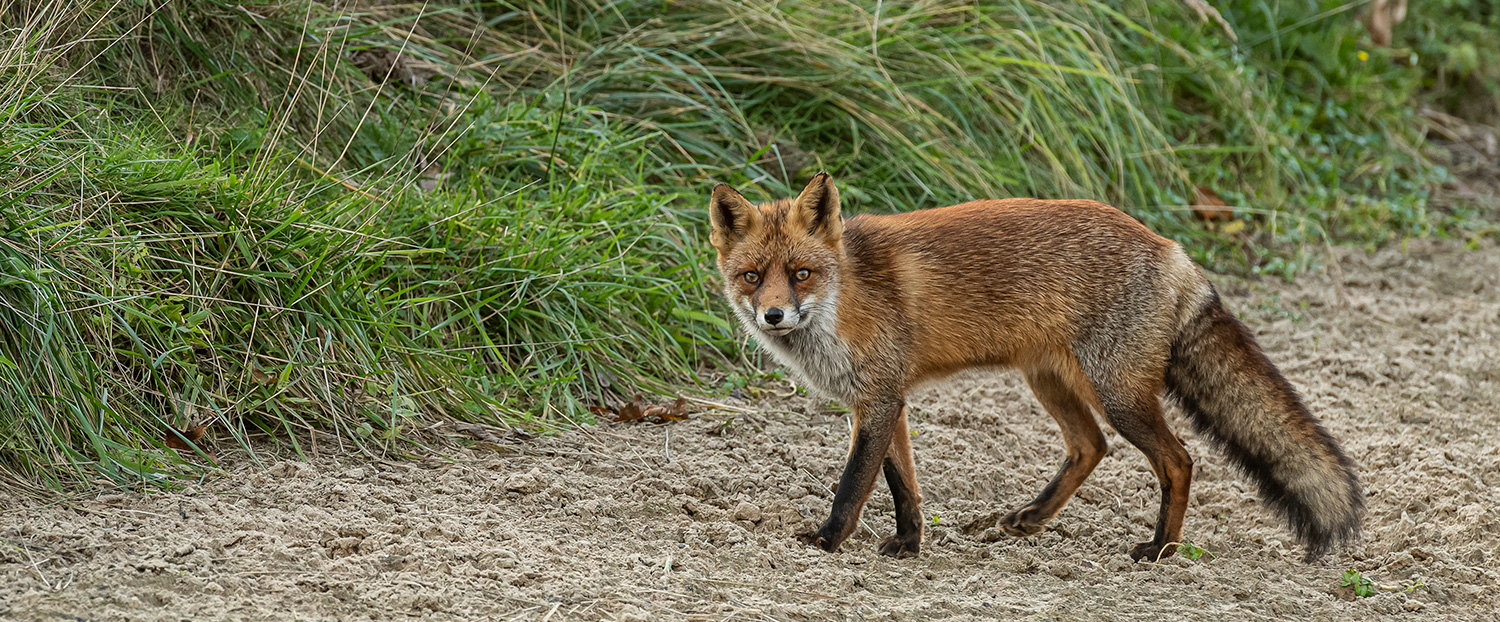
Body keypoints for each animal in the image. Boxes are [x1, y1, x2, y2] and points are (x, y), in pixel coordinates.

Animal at [708, 173, 1368, 563]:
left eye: (801, 274)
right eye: (752, 276)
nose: (772, 315)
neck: (844, 297)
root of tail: (1172, 249)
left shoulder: (880, 400)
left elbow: (853, 485)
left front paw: (826, 539)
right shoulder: (881, 401)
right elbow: (902, 485)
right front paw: (909, 543)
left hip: (1118, 393)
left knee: (1178, 460)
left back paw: (1161, 548)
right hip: (1051, 382)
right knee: (1091, 446)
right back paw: (1031, 518)